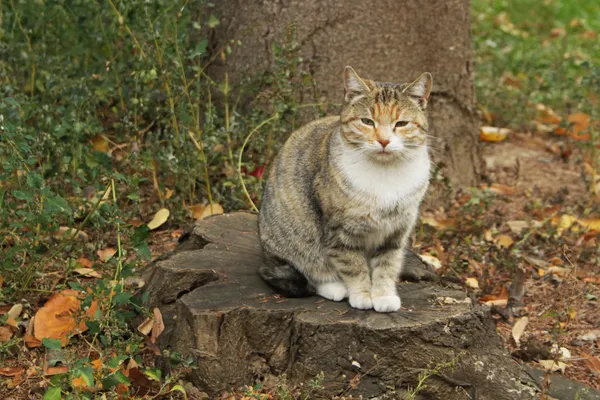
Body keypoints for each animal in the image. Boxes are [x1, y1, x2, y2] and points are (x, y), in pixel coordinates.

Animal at [258, 65, 432, 312]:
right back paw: (334, 287)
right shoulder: (340, 233)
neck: (385, 173)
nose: (384, 141)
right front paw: (362, 294)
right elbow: (353, 265)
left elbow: (387, 265)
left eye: (401, 124)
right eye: (367, 121)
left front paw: (383, 295)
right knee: (308, 269)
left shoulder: (395, 232)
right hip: (296, 240)